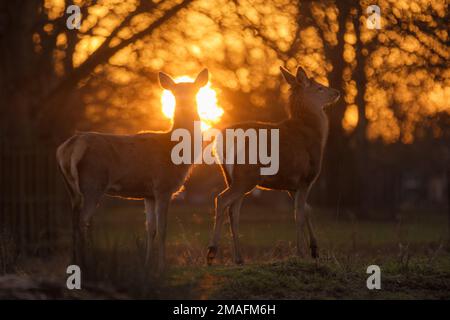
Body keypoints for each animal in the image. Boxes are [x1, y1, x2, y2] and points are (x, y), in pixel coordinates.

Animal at [56, 69, 209, 272]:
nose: (185, 105)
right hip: (93, 183)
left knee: (73, 222)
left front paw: (147, 265)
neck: (174, 150)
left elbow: (150, 228)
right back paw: (89, 264)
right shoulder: (163, 186)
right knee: (83, 221)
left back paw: (74, 262)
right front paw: (162, 266)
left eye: (195, 92)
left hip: (70, 187)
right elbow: (163, 229)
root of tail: (70, 146)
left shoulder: (148, 194)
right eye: (175, 94)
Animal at [207, 65, 342, 264]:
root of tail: (220, 142)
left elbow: (307, 209)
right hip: (246, 175)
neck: (312, 134)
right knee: (222, 199)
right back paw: (211, 252)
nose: (337, 92)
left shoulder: (291, 185)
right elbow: (298, 214)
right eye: (320, 88)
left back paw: (238, 258)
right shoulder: (306, 177)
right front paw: (301, 253)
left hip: (231, 176)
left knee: (234, 210)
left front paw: (314, 249)